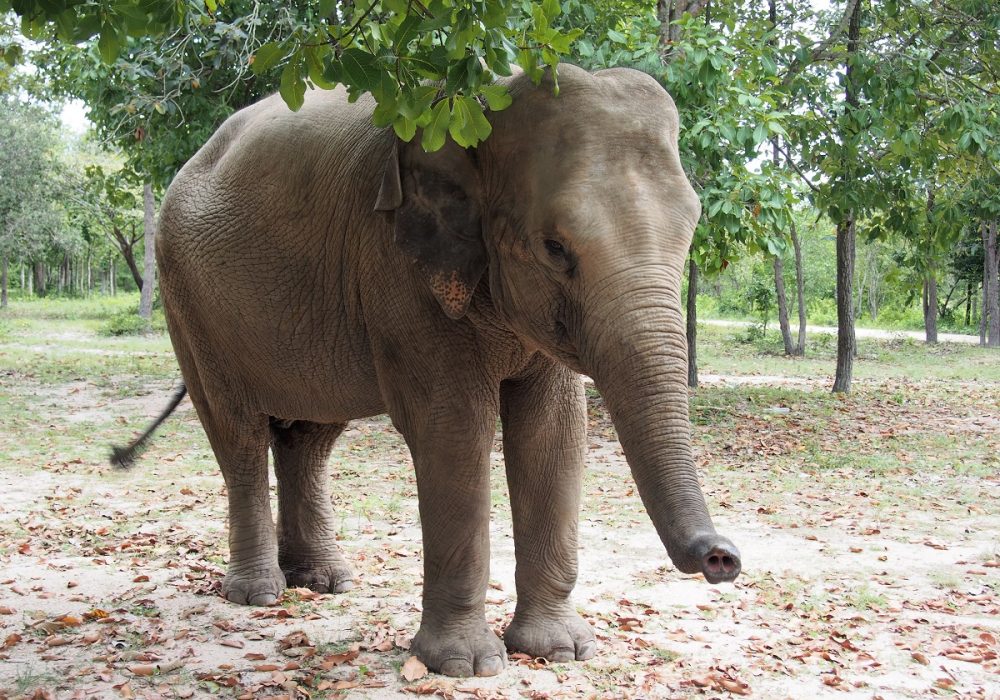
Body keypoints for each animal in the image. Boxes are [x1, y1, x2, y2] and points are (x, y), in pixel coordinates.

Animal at [120, 63, 741, 677]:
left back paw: (323, 581)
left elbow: (554, 434)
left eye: (691, 229)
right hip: (189, 304)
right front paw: (466, 666)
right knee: (238, 432)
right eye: (555, 248)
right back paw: (259, 594)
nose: (722, 557)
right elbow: (455, 430)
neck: (486, 99)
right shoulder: (396, 266)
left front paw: (559, 651)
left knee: (309, 436)